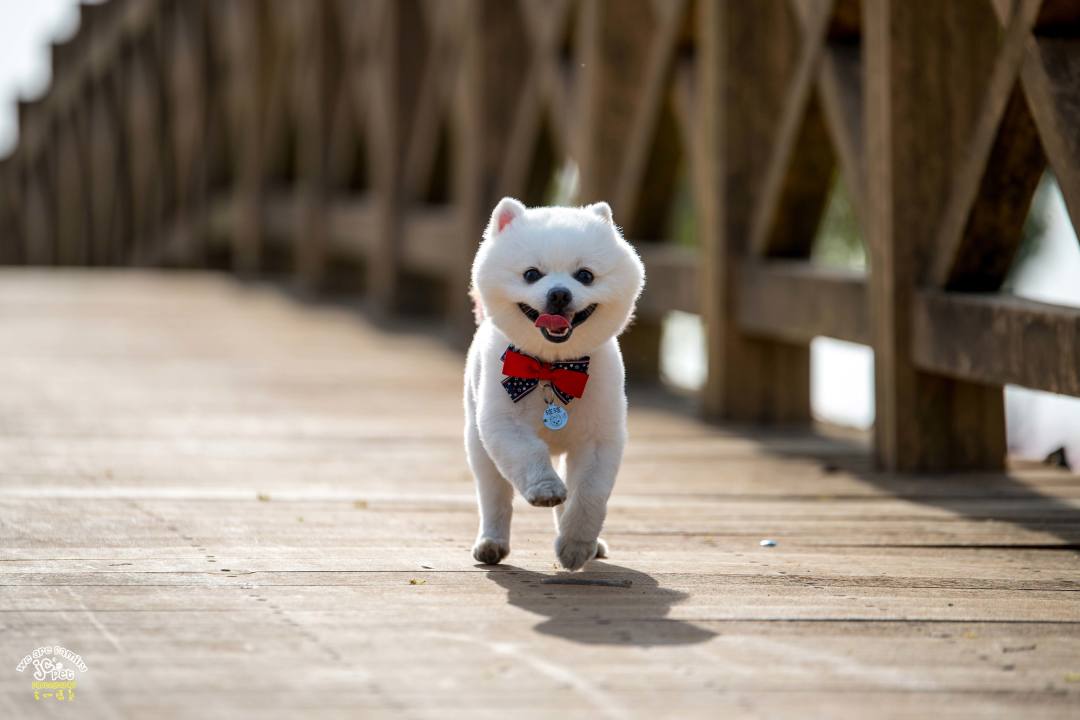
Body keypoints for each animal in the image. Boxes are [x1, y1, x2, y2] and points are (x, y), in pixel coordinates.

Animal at [462, 195, 639, 569]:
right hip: (478, 446)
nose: (559, 294)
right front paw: (546, 490)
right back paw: (491, 543)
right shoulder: (504, 424)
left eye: (585, 275)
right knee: (494, 495)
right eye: (532, 274)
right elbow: (528, 454)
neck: (552, 367)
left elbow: (588, 495)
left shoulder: (599, 439)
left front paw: (575, 547)